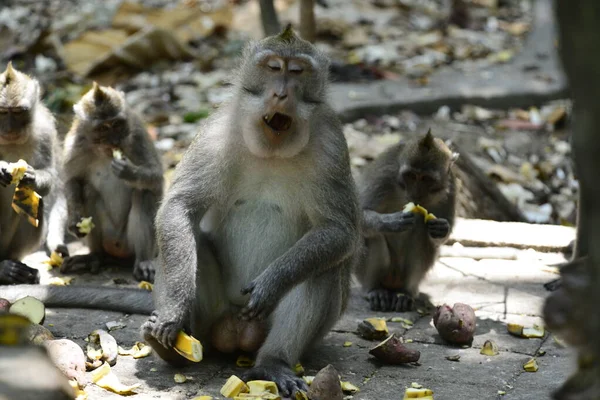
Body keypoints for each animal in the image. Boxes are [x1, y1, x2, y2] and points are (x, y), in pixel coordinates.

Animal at [0, 62, 60, 286]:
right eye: (2, 112)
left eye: (18, 112)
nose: (9, 129)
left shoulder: (45, 129)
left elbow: (50, 174)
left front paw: (31, 178)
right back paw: (2, 270)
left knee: (36, 205)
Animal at [60, 82, 163, 282]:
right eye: (103, 128)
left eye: (116, 124)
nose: (115, 141)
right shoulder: (76, 143)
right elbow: (72, 180)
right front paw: (75, 219)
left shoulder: (137, 135)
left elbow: (156, 179)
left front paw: (129, 172)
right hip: (107, 237)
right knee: (88, 190)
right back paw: (95, 256)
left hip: (131, 243)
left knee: (144, 193)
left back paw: (143, 260)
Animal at [139, 26, 360, 398]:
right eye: (272, 67)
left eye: (297, 71)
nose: (281, 94)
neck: (273, 148)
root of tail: (236, 333)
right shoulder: (213, 135)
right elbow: (179, 208)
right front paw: (175, 309)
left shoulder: (333, 147)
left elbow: (339, 230)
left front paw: (273, 282)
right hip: (212, 318)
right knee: (186, 238)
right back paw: (171, 349)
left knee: (324, 268)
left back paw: (273, 363)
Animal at [354, 131, 458, 312]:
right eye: (411, 176)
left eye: (426, 179)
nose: (415, 193)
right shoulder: (384, 174)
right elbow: (357, 215)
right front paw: (389, 222)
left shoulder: (450, 184)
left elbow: (442, 230)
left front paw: (441, 228)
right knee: (373, 236)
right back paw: (374, 290)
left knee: (421, 232)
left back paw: (405, 293)